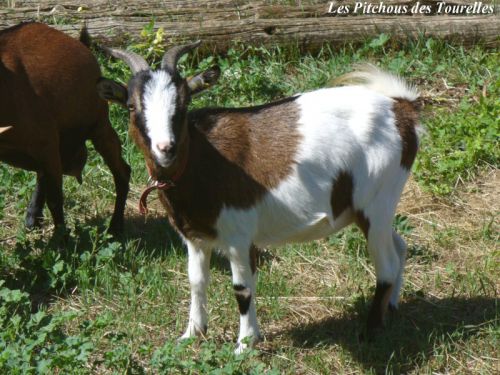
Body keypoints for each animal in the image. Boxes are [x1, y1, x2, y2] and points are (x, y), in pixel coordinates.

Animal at [0, 22, 131, 234]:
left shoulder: (47, 143)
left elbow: (55, 200)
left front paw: (61, 239)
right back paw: (32, 216)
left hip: (99, 126)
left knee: (122, 172)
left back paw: (115, 226)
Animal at [100, 42, 422, 354]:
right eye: (131, 105)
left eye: (184, 102)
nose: (165, 148)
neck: (203, 161)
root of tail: (402, 110)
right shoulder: (195, 236)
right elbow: (196, 281)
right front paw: (192, 334)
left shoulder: (238, 236)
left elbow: (242, 289)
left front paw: (245, 344)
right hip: (372, 209)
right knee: (400, 245)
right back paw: (392, 306)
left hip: (377, 202)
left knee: (386, 265)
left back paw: (370, 331)